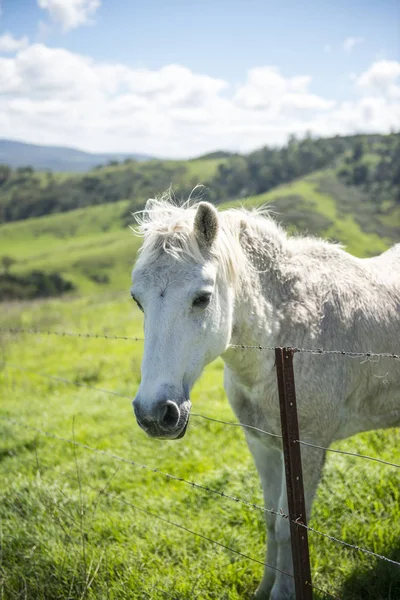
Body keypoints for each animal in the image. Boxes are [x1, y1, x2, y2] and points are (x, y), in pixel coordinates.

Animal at [131, 198, 400, 600]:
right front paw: (265, 588)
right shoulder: (262, 445)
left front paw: (285, 592)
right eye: (137, 300)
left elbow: (292, 525)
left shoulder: (307, 448)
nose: (153, 413)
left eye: (202, 298)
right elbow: (272, 519)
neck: (284, 337)